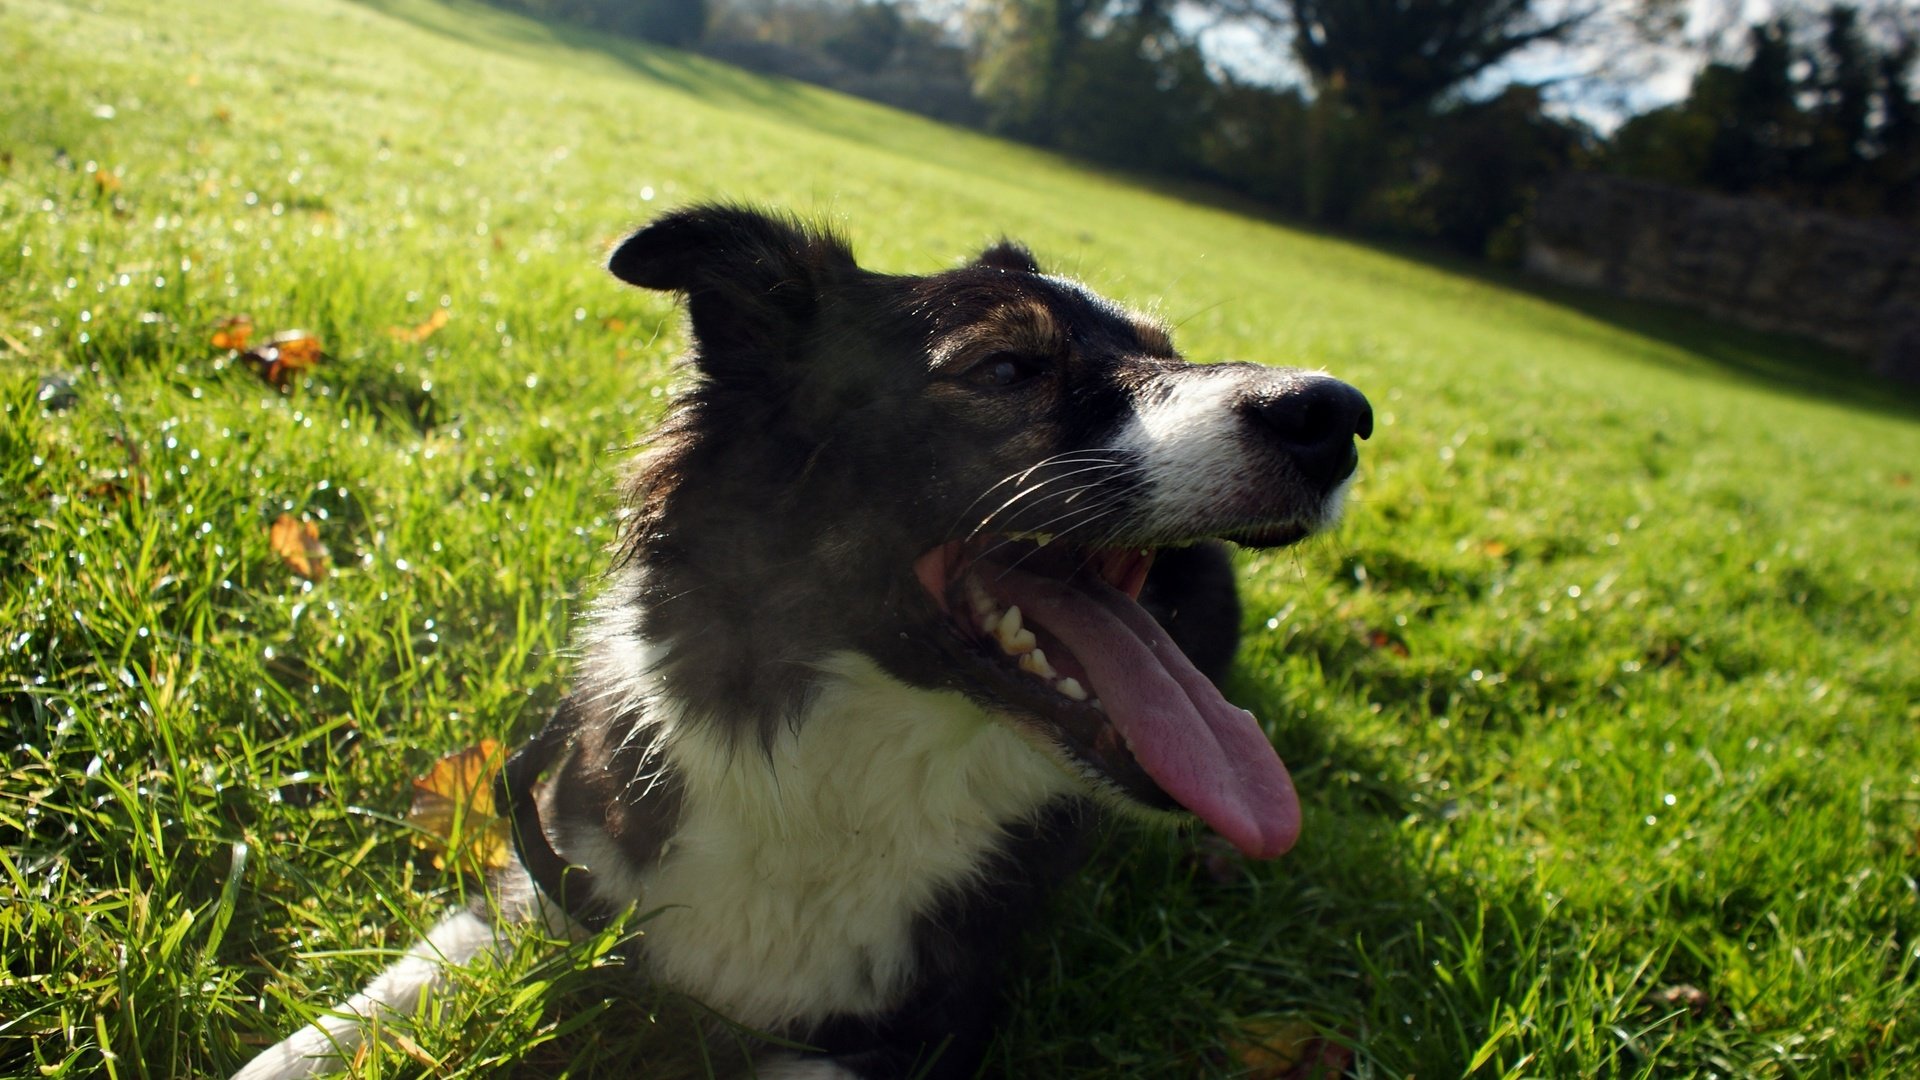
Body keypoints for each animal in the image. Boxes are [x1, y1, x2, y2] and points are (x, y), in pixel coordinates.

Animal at [240, 205, 1374, 1068]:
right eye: (1008, 369)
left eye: (1166, 353)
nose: (1337, 413)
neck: (841, 761)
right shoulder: (551, 874)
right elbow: (339, 1027)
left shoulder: (920, 1031)